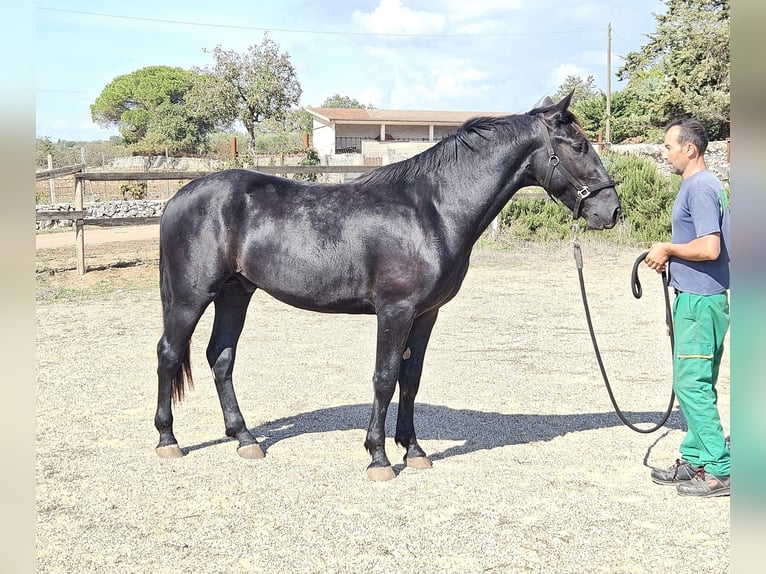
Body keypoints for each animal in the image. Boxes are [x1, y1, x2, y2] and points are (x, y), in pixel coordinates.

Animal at [154, 93, 624, 482]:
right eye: (578, 146)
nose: (612, 210)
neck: (432, 209)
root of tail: (179, 197)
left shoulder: (426, 313)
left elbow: (410, 379)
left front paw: (413, 450)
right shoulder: (395, 310)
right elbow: (384, 378)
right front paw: (378, 458)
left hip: (235, 293)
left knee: (221, 358)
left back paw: (245, 439)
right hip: (192, 297)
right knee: (169, 353)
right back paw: (168, 441)